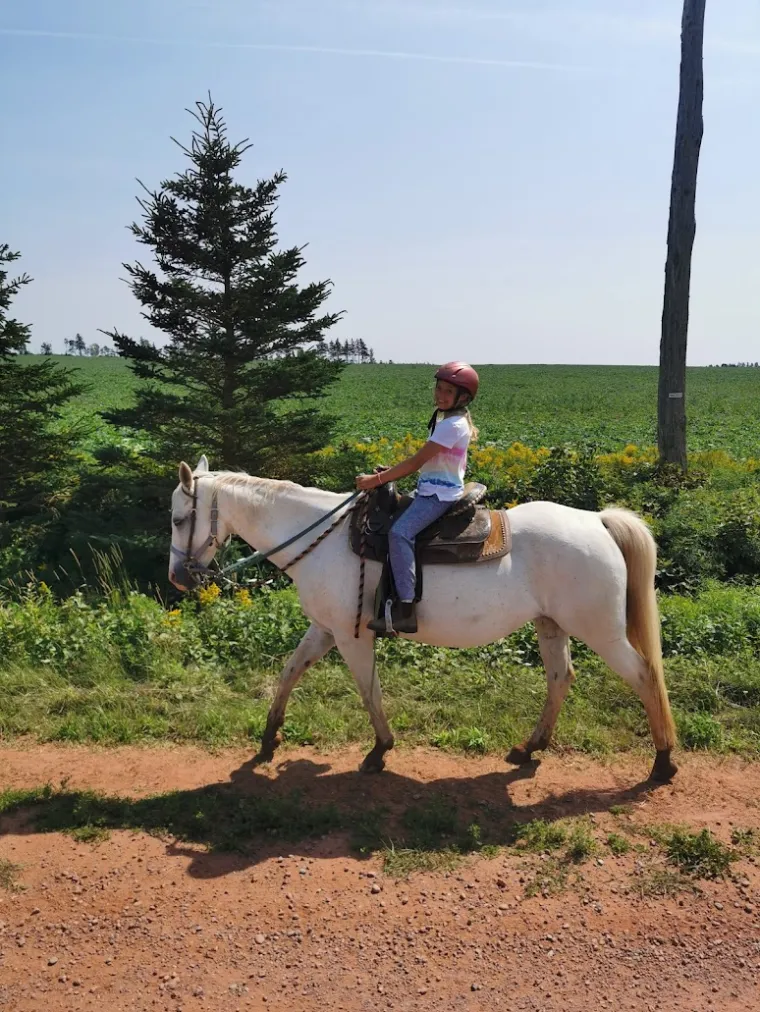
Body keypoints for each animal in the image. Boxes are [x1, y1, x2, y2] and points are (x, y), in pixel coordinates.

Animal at [169, 455, 678, 783]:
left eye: (177, 519)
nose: (178, 577)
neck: (323, 539)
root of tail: (598, 521)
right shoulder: (325, 629)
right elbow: (290, 672)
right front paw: (268, 739)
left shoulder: (352, 635)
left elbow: (368, 689)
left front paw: (379, 751)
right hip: (551, 625)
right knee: (560, 677)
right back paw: (529, 748)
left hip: (601, 631)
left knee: (644, 675)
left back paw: (663, 762)